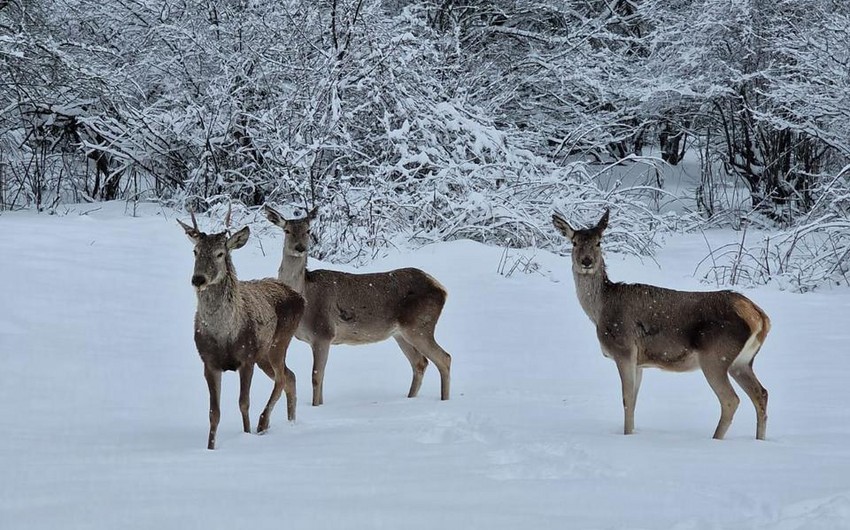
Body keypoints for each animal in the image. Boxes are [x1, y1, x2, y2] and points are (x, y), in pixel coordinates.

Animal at [176, 208, 304, 448]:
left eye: (219, 253)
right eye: (195, 251)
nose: (198, 279)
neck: (224, 335)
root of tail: (299, 296)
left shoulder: (246, 358)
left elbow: (243, 403)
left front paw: (246, 434)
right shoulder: (209, 362)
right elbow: (213, 412)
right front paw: (210, 447)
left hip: (279, 341)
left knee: (282, 377)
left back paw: (263, 424)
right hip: (264, 355)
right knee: (290, 376)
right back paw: (290, 421)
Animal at [264, 203, 450, 404]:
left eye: (308, 230)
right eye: (287, 230)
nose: (300, 248)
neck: (305, 295)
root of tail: (441, 289)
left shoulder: (323, 333)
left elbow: (316, 377)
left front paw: (316, 407)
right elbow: (321, 379)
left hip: (419, 325)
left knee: (444, 358)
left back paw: (444, 400)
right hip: (401, 333)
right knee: (420, 363)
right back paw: (410, 398)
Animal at [548, 208, 768, 440]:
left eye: (599, 242)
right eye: (574, 242)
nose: (586, 261)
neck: (600, 310)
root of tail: (759, 317)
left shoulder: (624, 349)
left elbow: (627, 399)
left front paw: (626, 436)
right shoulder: (639, 361)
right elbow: (634, 400)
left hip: (716, 357)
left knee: (730, 400)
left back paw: (716, 439)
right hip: (742, 361)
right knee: (761, 393)